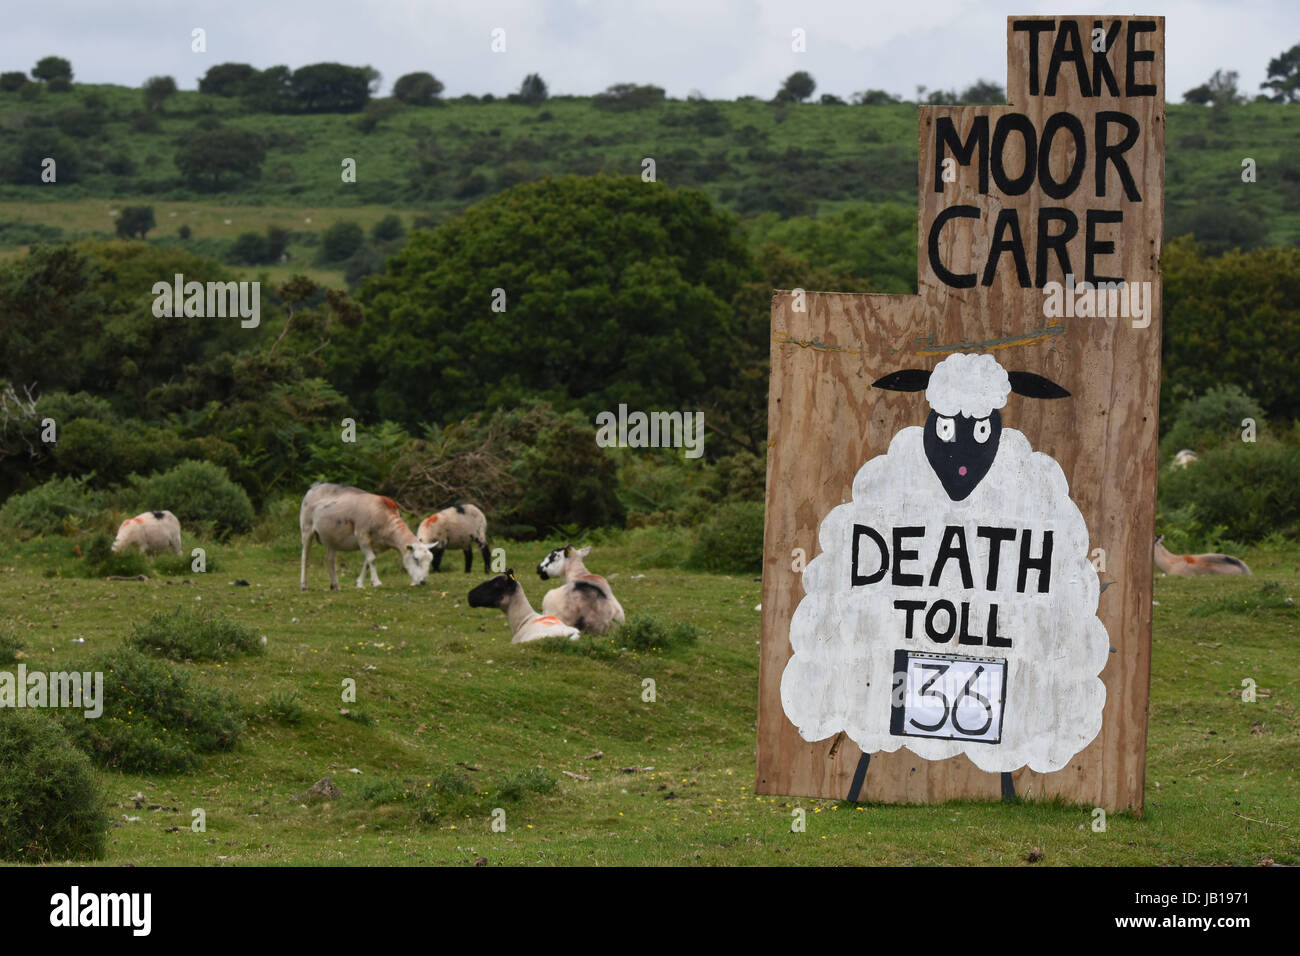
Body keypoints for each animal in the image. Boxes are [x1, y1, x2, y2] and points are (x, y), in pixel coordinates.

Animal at [297, 486, 434, 590]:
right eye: (415, 559)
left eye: (430, 560)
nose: (423, 582)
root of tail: (314, 487)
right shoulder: (362, 535)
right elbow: (372, 559)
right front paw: (376, 582)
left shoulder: (376, 544)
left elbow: (367, 562)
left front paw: (359, 583)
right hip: (306, 529)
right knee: (305, 557)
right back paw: (304, 585)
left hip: (332, 538)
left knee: (329, 560)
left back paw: (335, 585)